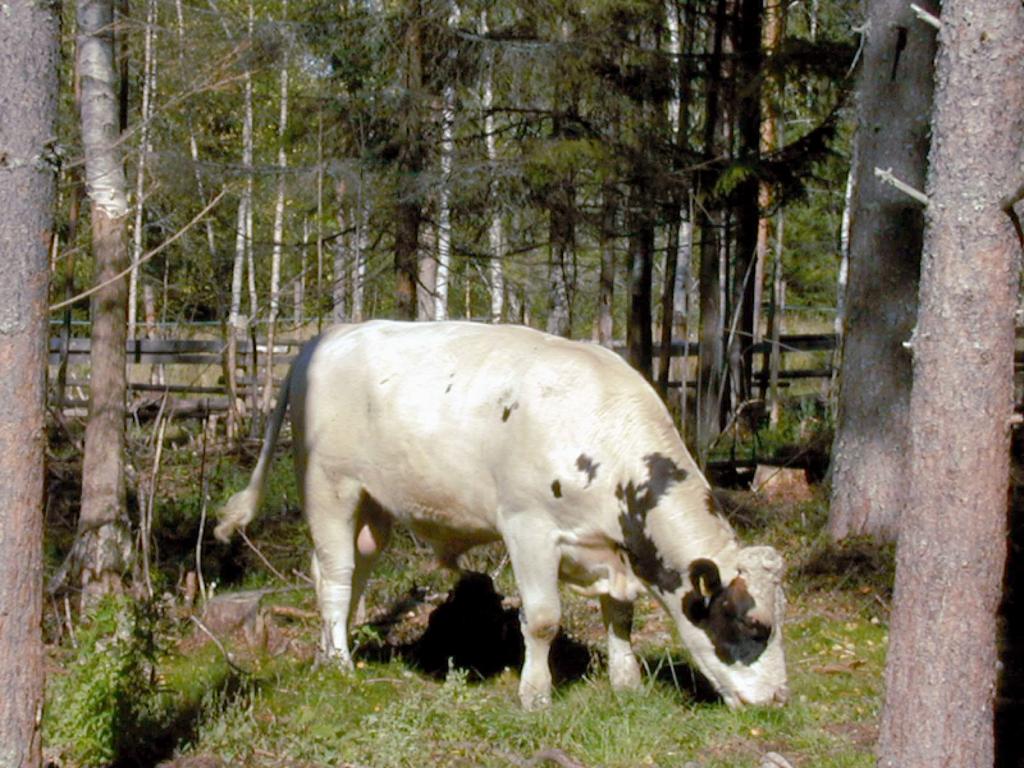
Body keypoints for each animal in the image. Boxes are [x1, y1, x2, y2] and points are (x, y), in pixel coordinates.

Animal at [216, 319, 786, 708]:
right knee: (335, 574)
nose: (779, 700)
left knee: (348, 570)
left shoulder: (611, 551)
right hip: (328, 487)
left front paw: (626, 681)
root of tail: (327, 337)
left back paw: (333, 647)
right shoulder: (527, 527)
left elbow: (620, 611)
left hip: (375, 505)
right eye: (754, 626)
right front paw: (536, 694)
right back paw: (339, 663)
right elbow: (543, 619)